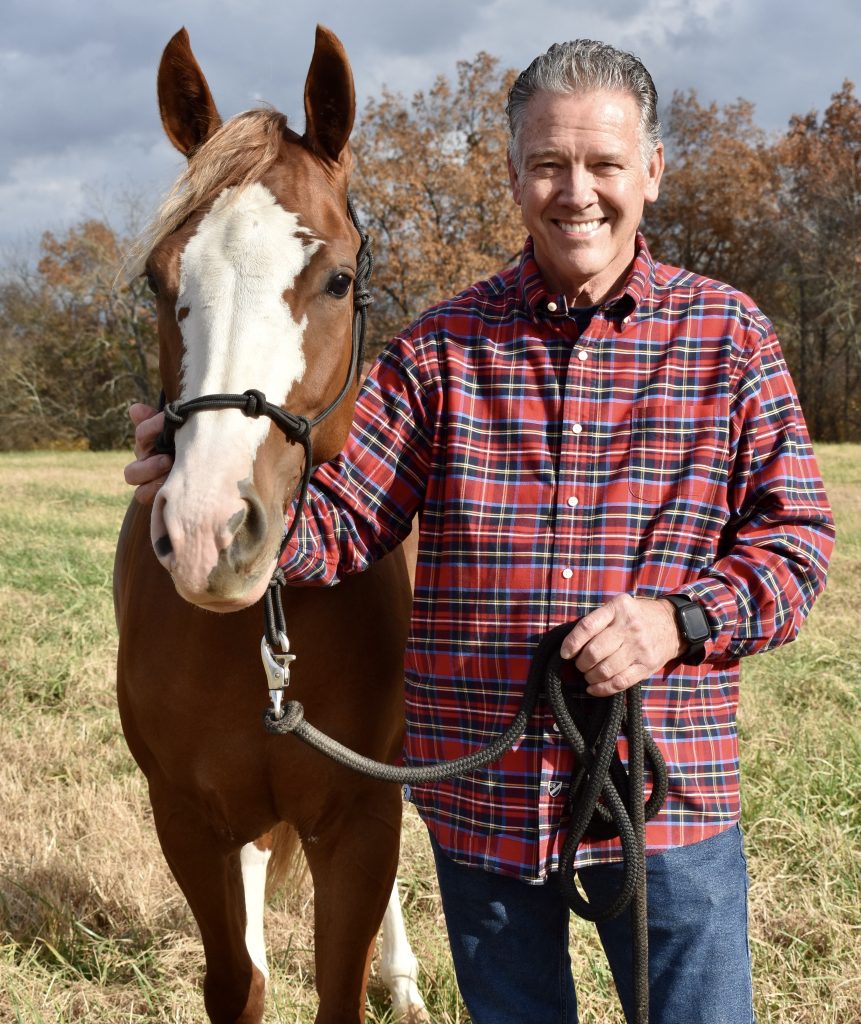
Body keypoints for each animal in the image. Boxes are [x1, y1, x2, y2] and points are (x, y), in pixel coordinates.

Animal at [113, 25, 425, 1024]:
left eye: (336, 278)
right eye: (158, 277)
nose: (209, 530)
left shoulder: (361, 821)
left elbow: (341, 986)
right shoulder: (187, 819)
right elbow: (235, 981)